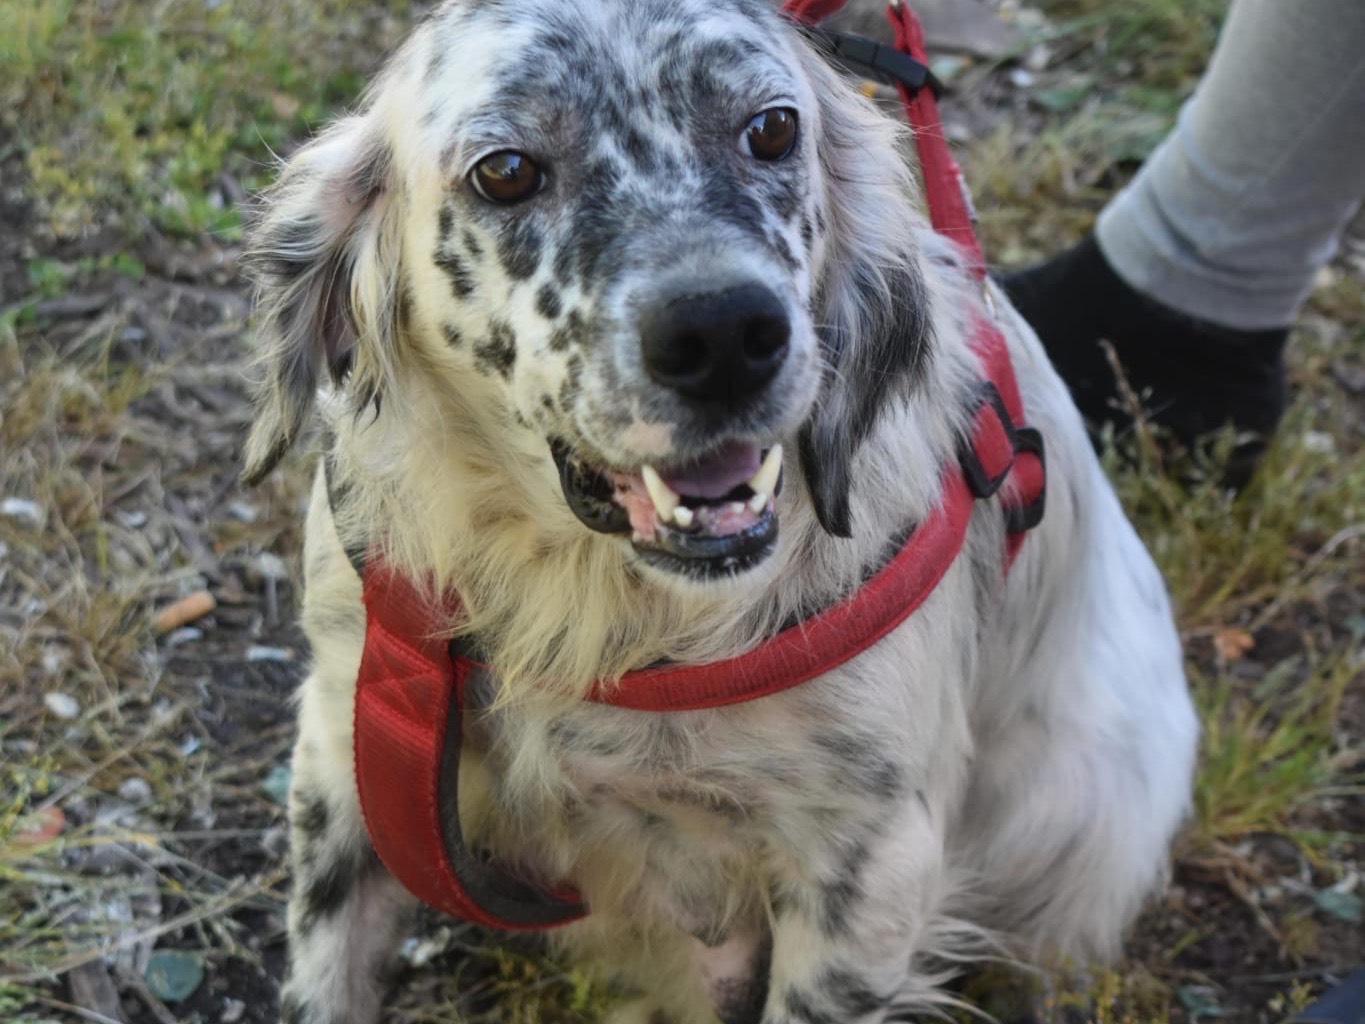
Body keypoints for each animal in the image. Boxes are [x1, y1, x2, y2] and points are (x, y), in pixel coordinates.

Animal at [242, 2, 1195, 1024]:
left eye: (770, 128)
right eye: (505, 171)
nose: (724, 333)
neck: (595, 606)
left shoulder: (870, 865)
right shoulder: (347, 751)